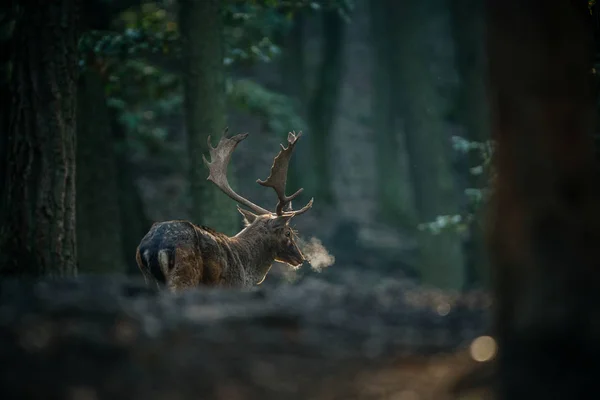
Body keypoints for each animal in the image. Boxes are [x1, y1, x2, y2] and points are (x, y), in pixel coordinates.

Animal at [135, 130, 314, 292]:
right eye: (288, 233)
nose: (301, 258)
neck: (246, 270)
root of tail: (154, 248)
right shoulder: (232, 286)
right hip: (184, 276)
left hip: (148, 278)